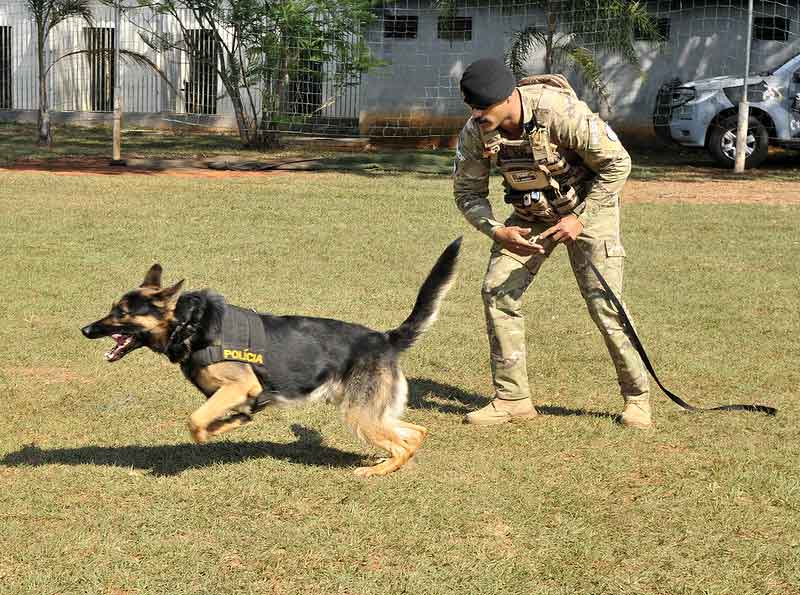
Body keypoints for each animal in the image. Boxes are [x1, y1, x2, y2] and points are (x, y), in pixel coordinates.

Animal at [83, 240, 462, 478]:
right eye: (113, 308)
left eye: (121, 313)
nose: (86, 329)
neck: (190, 323)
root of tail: (385, 338)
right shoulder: (236, 396)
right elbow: (220, 418)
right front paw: (229, 425)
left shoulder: (241, 387)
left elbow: (195, 422)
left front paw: (214, 431)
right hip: (373, 413)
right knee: (415, 433)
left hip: (360, 416)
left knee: (402, 445)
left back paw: (375, 471)